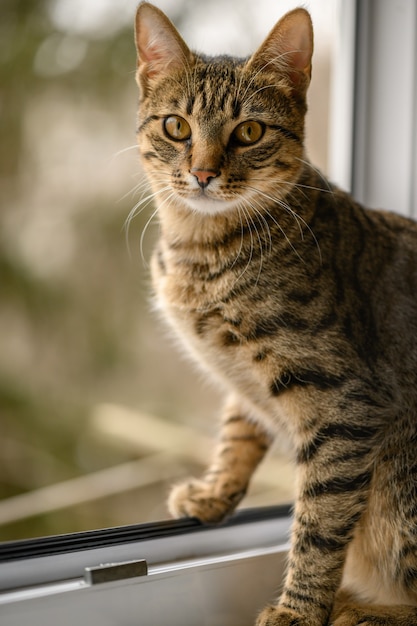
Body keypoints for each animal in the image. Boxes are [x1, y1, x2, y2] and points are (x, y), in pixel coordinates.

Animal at [134, 2, 417, 620]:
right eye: (177, 127)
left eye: (249, 131)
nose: (204, 173)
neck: (201, 253)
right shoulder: (242, 380)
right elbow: (237, 433)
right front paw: (214, 492)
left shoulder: (345, 405)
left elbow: (319, 521)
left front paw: (299, 610)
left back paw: (362, 610)